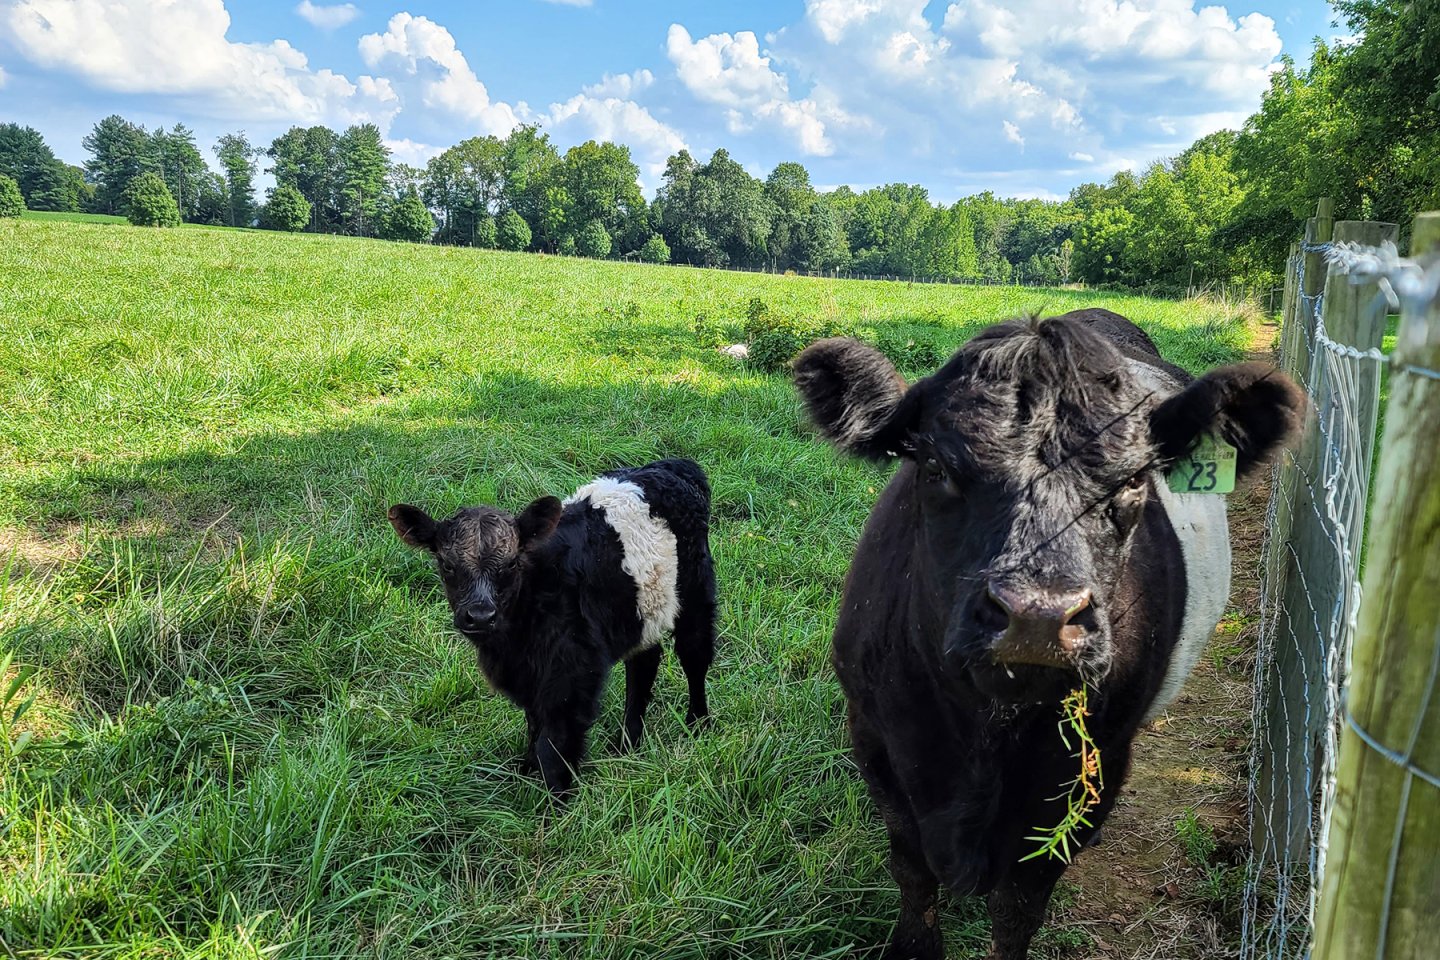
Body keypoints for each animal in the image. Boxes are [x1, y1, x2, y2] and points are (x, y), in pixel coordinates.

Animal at [388, 458, 717, 797]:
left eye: (511, 563)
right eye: (447, 565)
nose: (480, 616)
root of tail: (674, 465)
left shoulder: (573, 677)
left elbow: (555, 745)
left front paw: (555, 800)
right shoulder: (529, 677)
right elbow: (534, 725)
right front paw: (526, 770)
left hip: (696, 591)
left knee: (695, 655)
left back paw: (697, 724)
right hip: (640, 611)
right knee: (644, 663)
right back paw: (628, 743)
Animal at [792, 309, 1302, 959]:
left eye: (1134, 480)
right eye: (934, 468)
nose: (1037, 615)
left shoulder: (1092, 765)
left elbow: (1019, 904)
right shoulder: (876, 738)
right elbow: (912, 871)